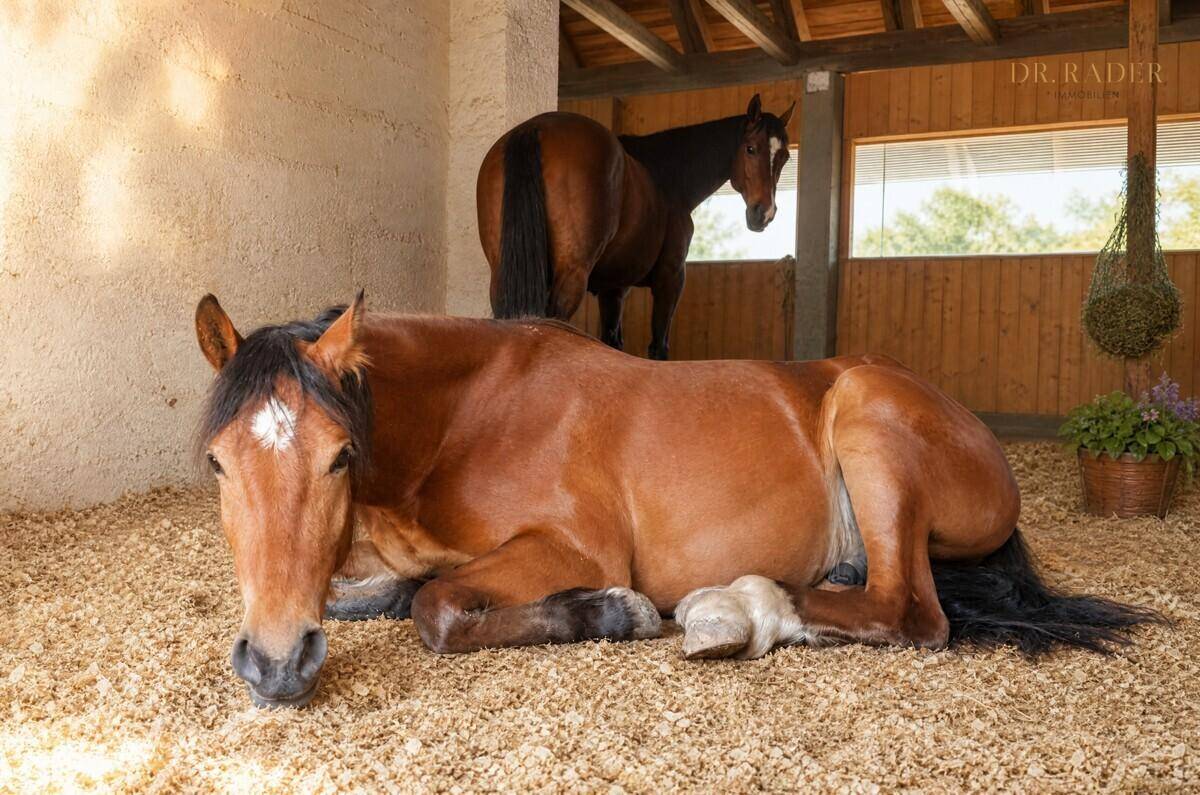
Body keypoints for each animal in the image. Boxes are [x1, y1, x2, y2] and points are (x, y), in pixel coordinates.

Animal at [193, 294, 1160, 708]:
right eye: (217, 464)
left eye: (339, 456)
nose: (276, 666)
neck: (464, 415)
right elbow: (384, 595)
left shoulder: (568, 549)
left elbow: (433, 610)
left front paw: (610, 612)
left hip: (866, 416)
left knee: (910, 612)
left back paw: (741, 608)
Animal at [476, 94, 794, 360]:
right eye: (751, 149)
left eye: (785, 157)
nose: (764, 213)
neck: (668, 178)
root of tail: (535, 128)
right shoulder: (670, 279)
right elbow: (658, 347)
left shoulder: (614, 289)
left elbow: (613, 341)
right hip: (571, 276)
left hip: (502, 273)